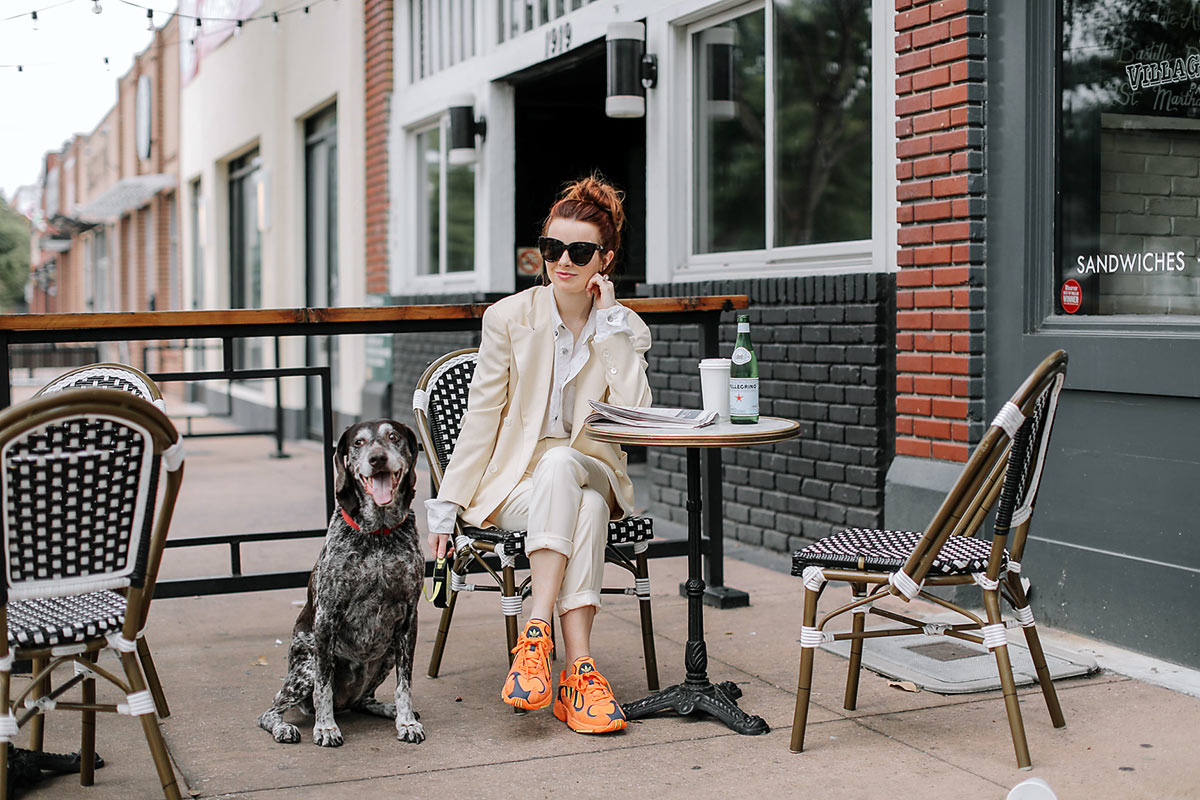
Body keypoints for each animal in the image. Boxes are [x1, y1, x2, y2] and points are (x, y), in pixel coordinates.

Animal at [258, 422, 427, 748]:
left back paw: (390, 709)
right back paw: (284, 727)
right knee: (270, 710)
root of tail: (345, 702)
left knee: (365, 700)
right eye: (358, 442)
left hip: (388, 652)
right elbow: (324, 687)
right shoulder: (327, 616)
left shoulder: (408, 618)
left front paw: (406, 721)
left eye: (393, 437)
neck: (378, 534)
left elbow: (405, 684)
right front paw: (326, 728)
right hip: (305, 667)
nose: (377, 458)